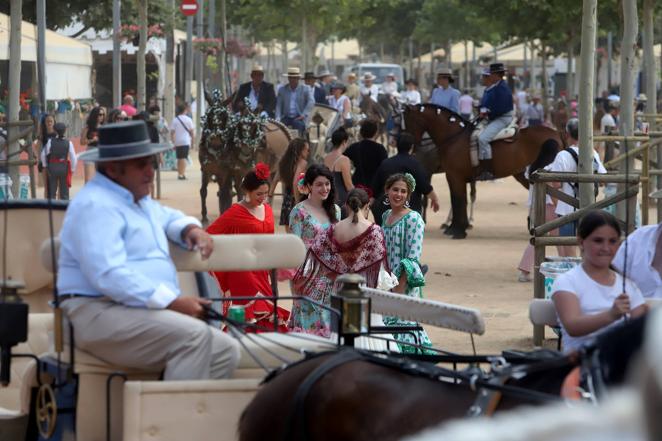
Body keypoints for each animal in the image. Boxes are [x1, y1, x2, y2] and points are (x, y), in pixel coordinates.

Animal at [402, 104, 564, 237]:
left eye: (409, 122)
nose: (413, 147)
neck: (454, 137)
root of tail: (555, 133)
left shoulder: (454, 176)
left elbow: (458, 200)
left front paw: (457, 229)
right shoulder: (455, 177)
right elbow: (459, 199)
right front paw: (458, 226)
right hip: (522, 174)